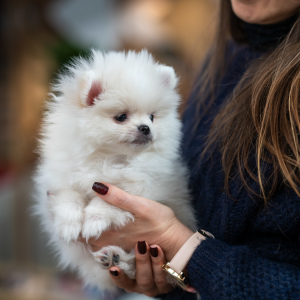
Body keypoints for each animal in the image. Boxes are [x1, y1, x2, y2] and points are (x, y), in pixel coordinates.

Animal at [33, 50, 197, 292]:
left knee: (134, 265)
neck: (110, 158)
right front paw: (69, 225)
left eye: (152, 117)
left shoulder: (141, 186)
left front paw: (94, 220)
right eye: (121, 117)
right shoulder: (61, 177)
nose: (146, 128)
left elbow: (108, 202)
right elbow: (69, 197)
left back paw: (116, 258)